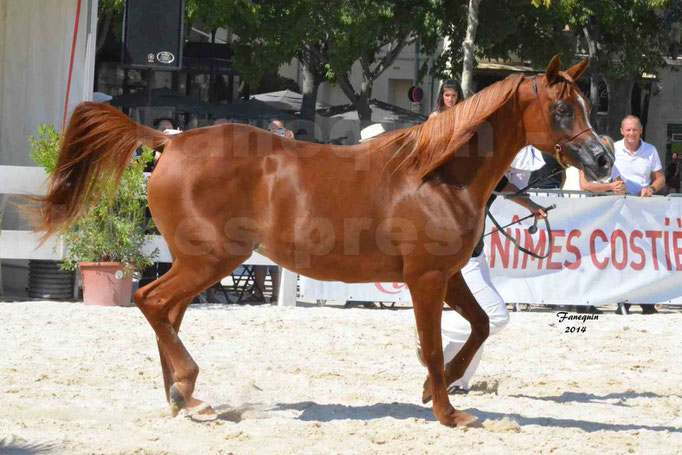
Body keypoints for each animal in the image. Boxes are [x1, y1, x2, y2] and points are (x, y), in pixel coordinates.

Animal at [37, 56, 612, 428]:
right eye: (563, 110)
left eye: (585, 104)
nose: (603, 160)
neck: (438, 175)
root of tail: (169, 141)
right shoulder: (425, 279)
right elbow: (431, 344)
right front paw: (450, 413)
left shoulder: (447, 276)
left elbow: (479, 327)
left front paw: (438, 388)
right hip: (212, 259)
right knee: (151, 301)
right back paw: (189, 395)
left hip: (197, 261)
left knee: (166, 315)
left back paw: (182, 399)